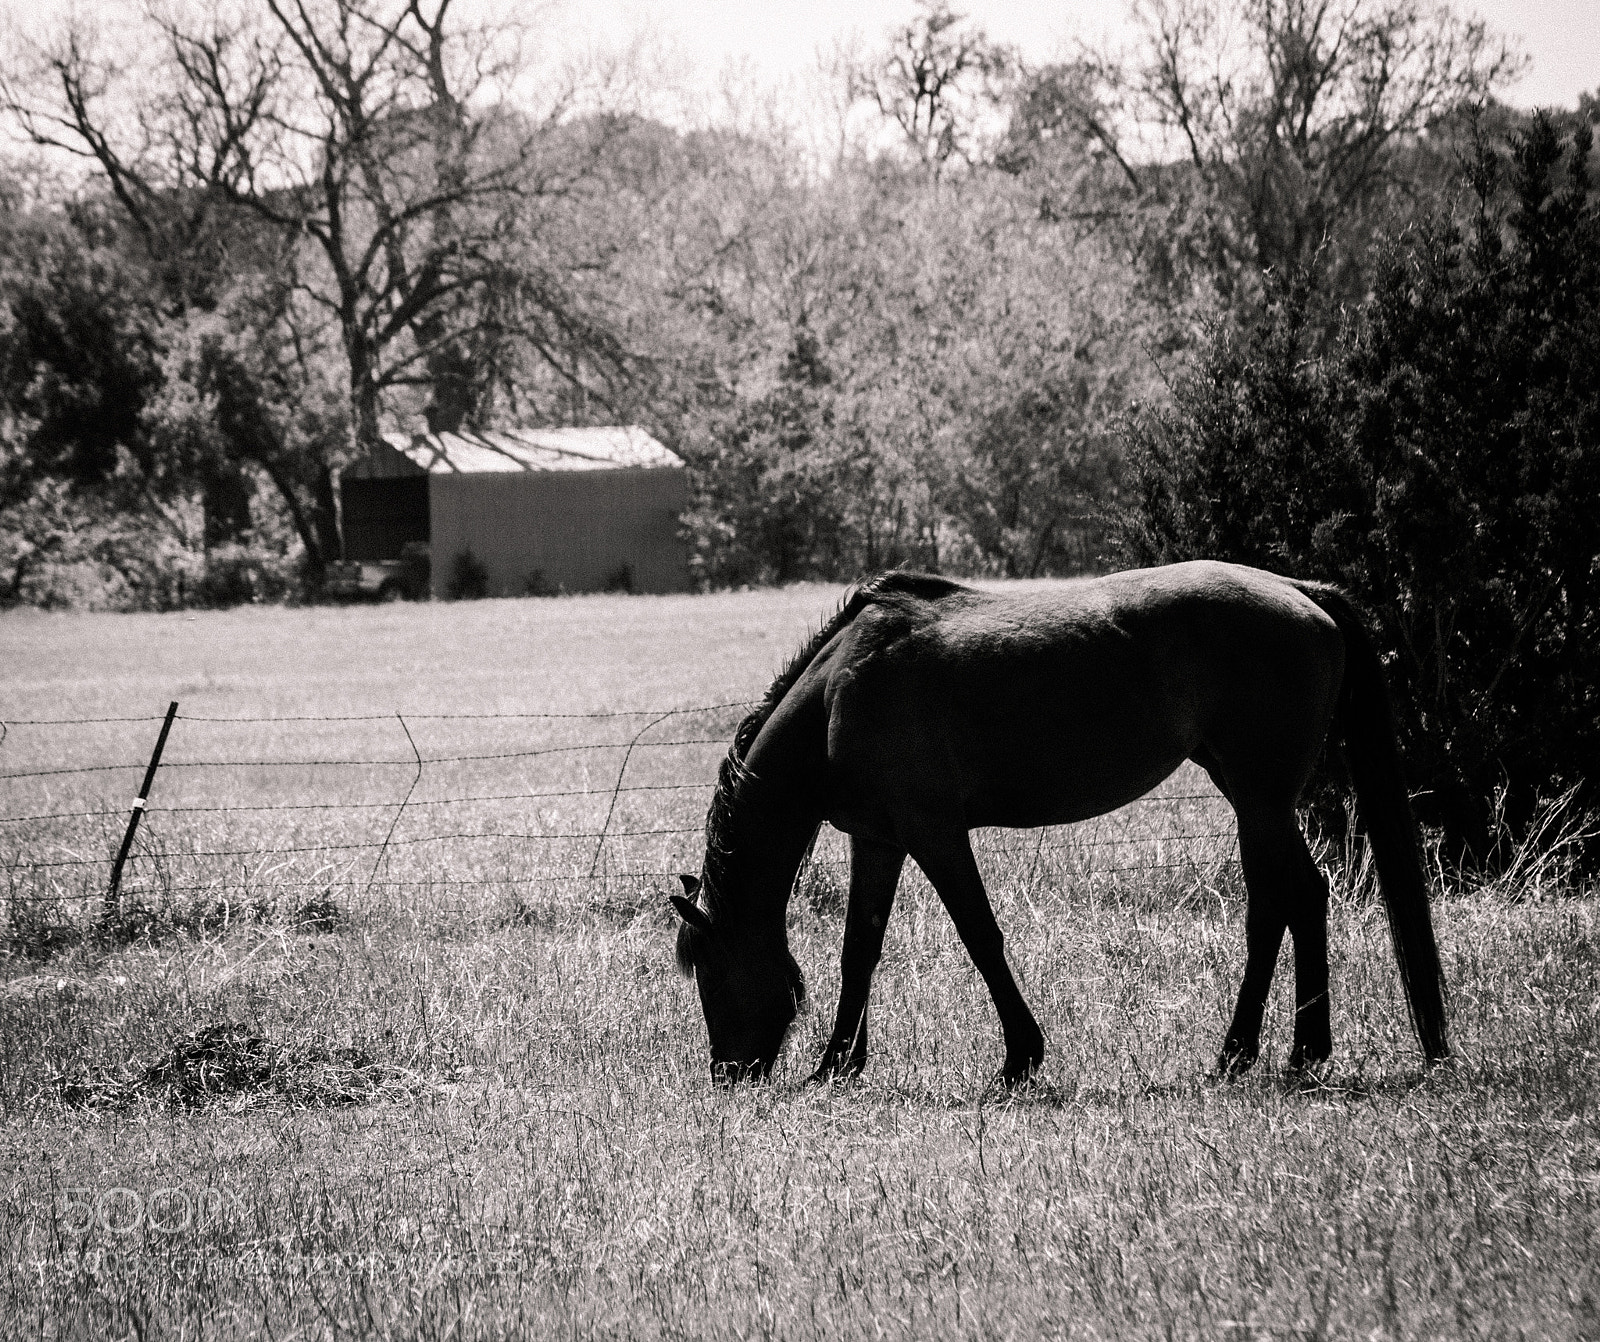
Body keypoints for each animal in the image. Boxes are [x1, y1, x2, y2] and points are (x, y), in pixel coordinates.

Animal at [668, 561, 1450, 1086]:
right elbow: (859, 948)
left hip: (1259, 800)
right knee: (1300, 899)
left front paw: (1020, 1057)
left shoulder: (934, 834)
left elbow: (980, 937)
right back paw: (1291, 1052)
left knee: (1281, 905)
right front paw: (837, 1063)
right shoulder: (879, 839)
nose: (728, 1073)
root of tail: (1301, 592)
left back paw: (1255, 1053)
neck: (839, 693)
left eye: (710, 972)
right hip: (1254, 798)